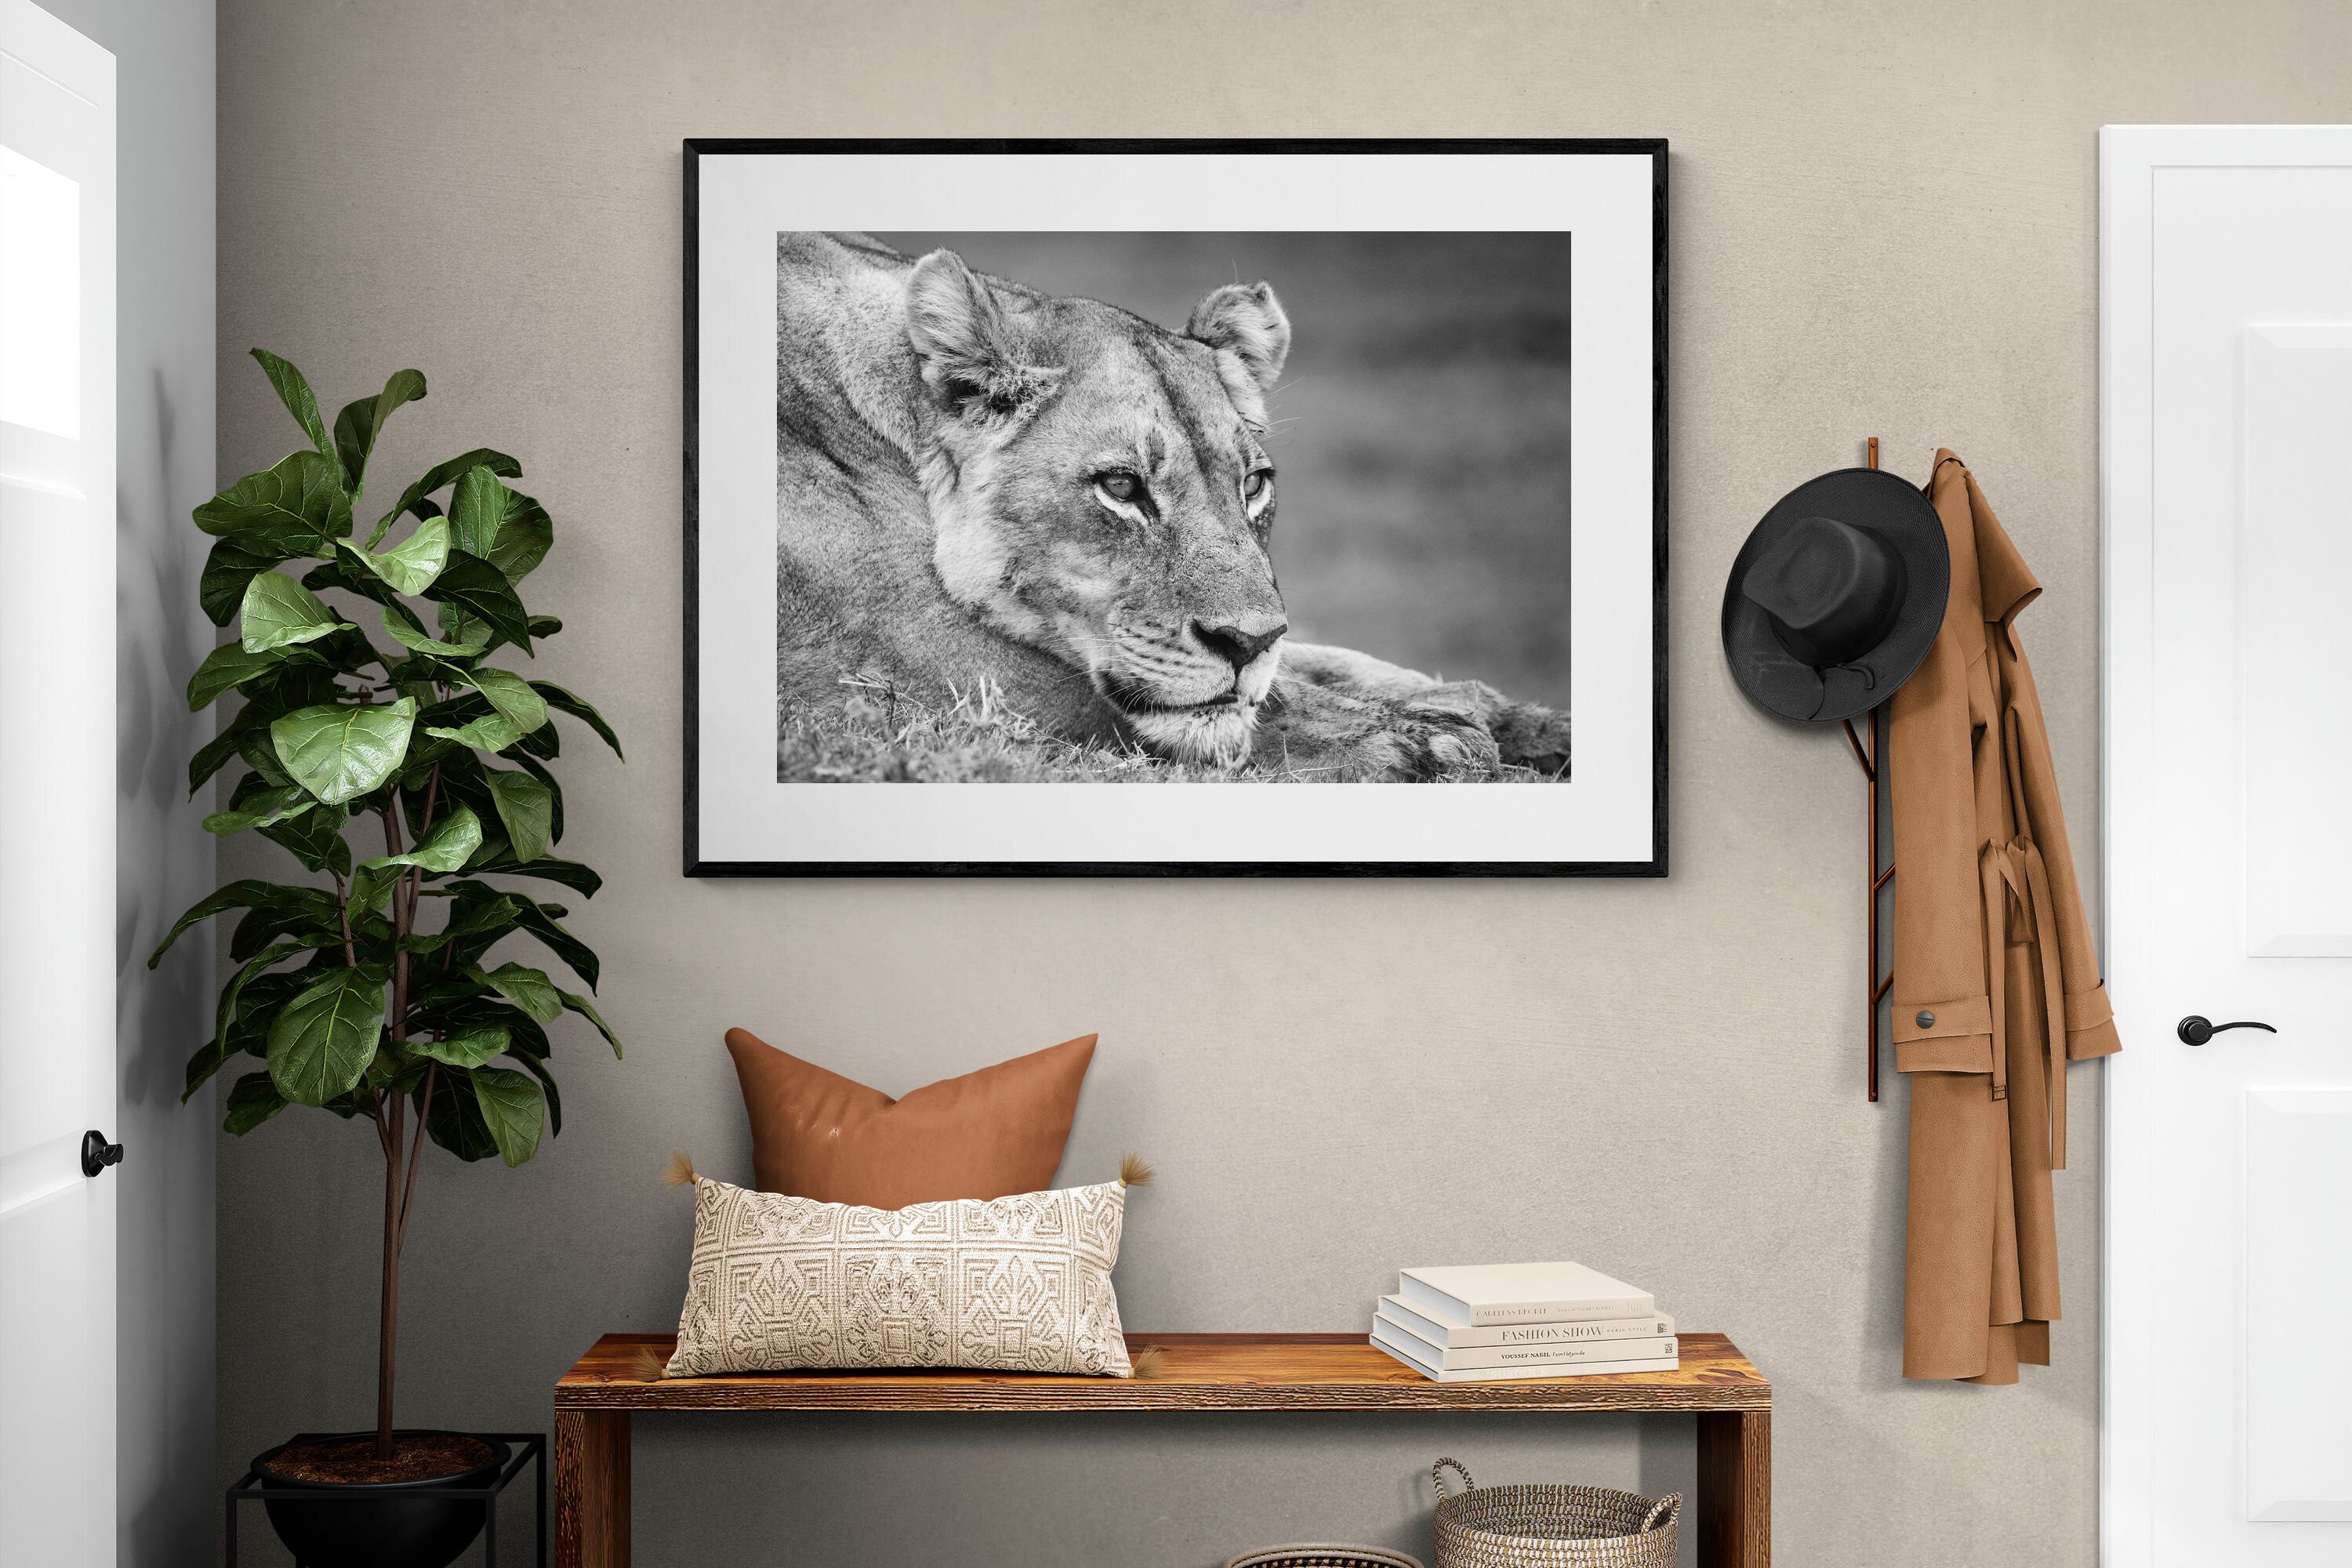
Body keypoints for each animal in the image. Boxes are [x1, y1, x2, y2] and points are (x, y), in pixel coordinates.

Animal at [772, 232, 1571, 782]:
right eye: (1122, 488)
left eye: (1253, 486)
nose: (1246, 645)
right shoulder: (903, 660)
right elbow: (1236, 706)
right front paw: (1428, 741)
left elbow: (1328, 663)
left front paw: (1517, 719)